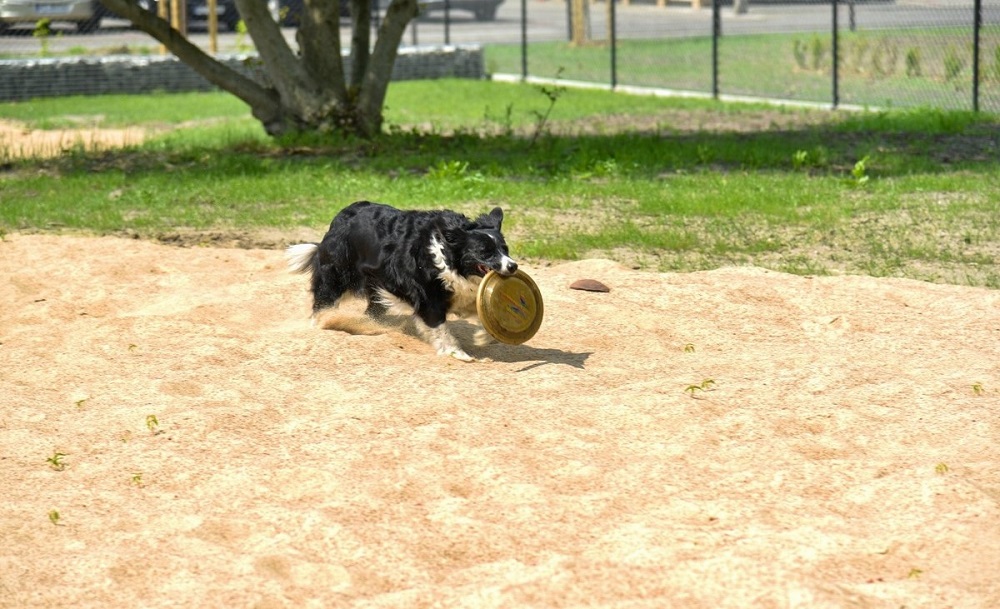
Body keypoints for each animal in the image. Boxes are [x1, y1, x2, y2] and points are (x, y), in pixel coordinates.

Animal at [282, 202, 516, 358]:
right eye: (485, 252)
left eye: (505, 249)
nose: (513, 266)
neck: (448, 255)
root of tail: (338, 219)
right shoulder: (428, 298)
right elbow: (439, 326)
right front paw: (456, 353)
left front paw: (483, 337)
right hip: (337, 273)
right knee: (324, 301)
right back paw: (323, 324)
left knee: (372, 310)